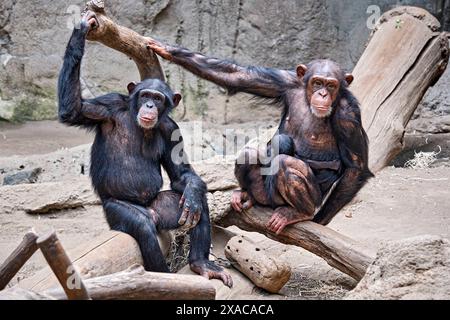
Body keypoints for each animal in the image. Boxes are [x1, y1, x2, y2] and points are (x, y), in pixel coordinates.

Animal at [56, 11, 232, 288]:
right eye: (145, 95)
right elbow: (73, 109)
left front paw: (192, 193)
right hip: (116, 210)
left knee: (196, 201)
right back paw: (161, 276)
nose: (149, 105)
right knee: (142, 225)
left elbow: (183, 175)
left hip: (165, 207)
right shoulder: (107, 105)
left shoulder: (171, 128)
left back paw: (200, 263)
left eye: (158, 99)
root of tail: (152, 210)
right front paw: (81, 28)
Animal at [149, 38, 374, 234]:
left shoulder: (348, 114)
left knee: (285, 164)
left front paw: (319, 220)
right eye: (318, 82)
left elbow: (356, 167)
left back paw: (299, 213)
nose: (323, 94)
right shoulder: (286, 81)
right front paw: (166, 48)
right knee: (248, 155)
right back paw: (246, 195)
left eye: (332, 85)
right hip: (264, 194)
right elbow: (238, 76)